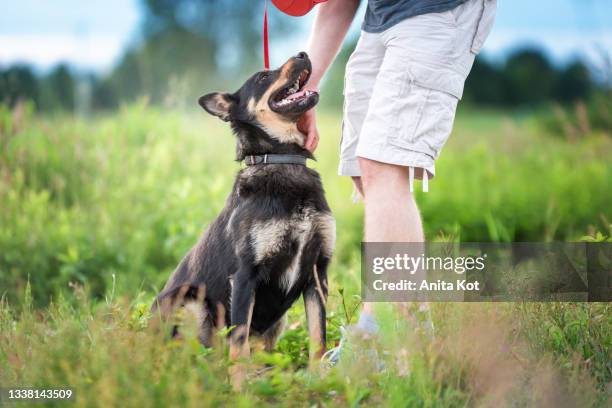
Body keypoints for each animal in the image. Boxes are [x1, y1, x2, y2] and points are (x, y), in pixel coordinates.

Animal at [152, 52, 334, 388]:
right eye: (262, 77)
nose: (303, 54)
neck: (281, 158)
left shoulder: (318, 272)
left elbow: (319, 336)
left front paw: (320, 379)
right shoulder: (245, 274)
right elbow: (238, 341)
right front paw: (239, 390)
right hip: (189, 300)